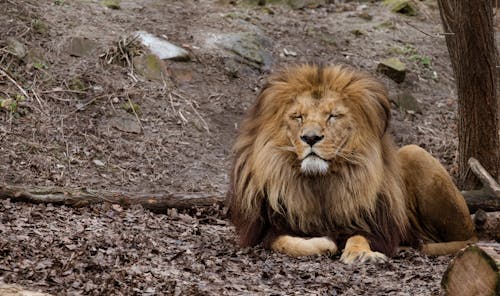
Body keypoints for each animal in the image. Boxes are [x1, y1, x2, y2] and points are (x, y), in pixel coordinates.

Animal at [227, 63, 476, 262]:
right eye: (298, 116)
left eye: (333, 116)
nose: (310, 138)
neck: (321, 183)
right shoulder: (269, 228)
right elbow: (287, 242)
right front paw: (326, 243)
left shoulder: (373, 226)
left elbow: (358, 237)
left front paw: (362, 255)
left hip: (415, 152)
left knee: (469, 239)